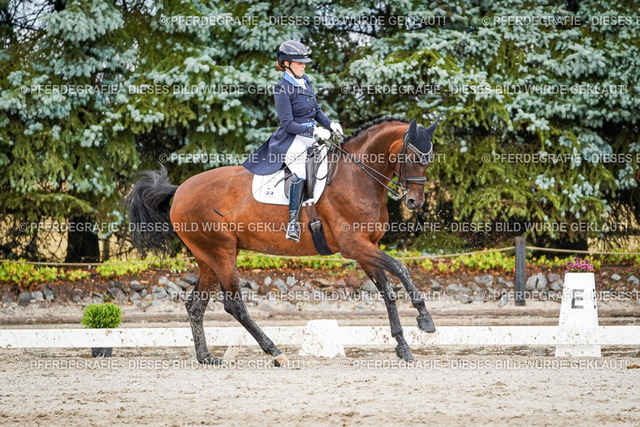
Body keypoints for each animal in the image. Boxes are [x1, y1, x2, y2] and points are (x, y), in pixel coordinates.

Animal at [126, 117, 439, 366]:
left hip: (208, 259)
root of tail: (180, 190)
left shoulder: (366, 248)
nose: (414, 202)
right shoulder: (354, 246)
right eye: (413, 158)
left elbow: (388, 291)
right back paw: (275, 353)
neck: (357, 175)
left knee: (195, 305)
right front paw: (425, 319)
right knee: (234, 305)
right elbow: (401, 268)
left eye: (429, 161)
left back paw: (207, 357)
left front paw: (402, 346)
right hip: (221, 253)